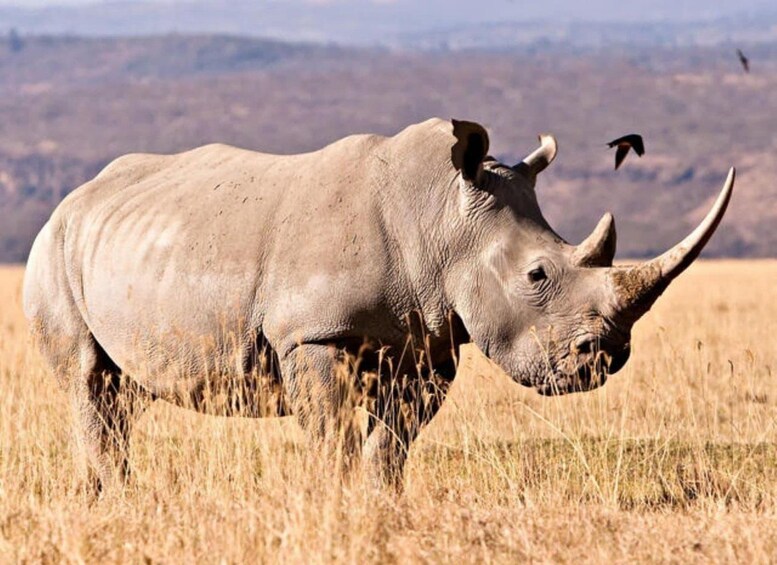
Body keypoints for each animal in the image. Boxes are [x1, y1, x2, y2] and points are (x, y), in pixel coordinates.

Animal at [23, 118, 734, 493]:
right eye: (537, 275)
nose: (605, 357)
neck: (441, 216)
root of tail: (74, 198)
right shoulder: (313, 334)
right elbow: (332, 434)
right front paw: (332, 500)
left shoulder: (431, 343)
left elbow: (392, 441)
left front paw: (379, 501)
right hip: (53, 249)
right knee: (89, 380)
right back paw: (114, 496)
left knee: (122, 393)